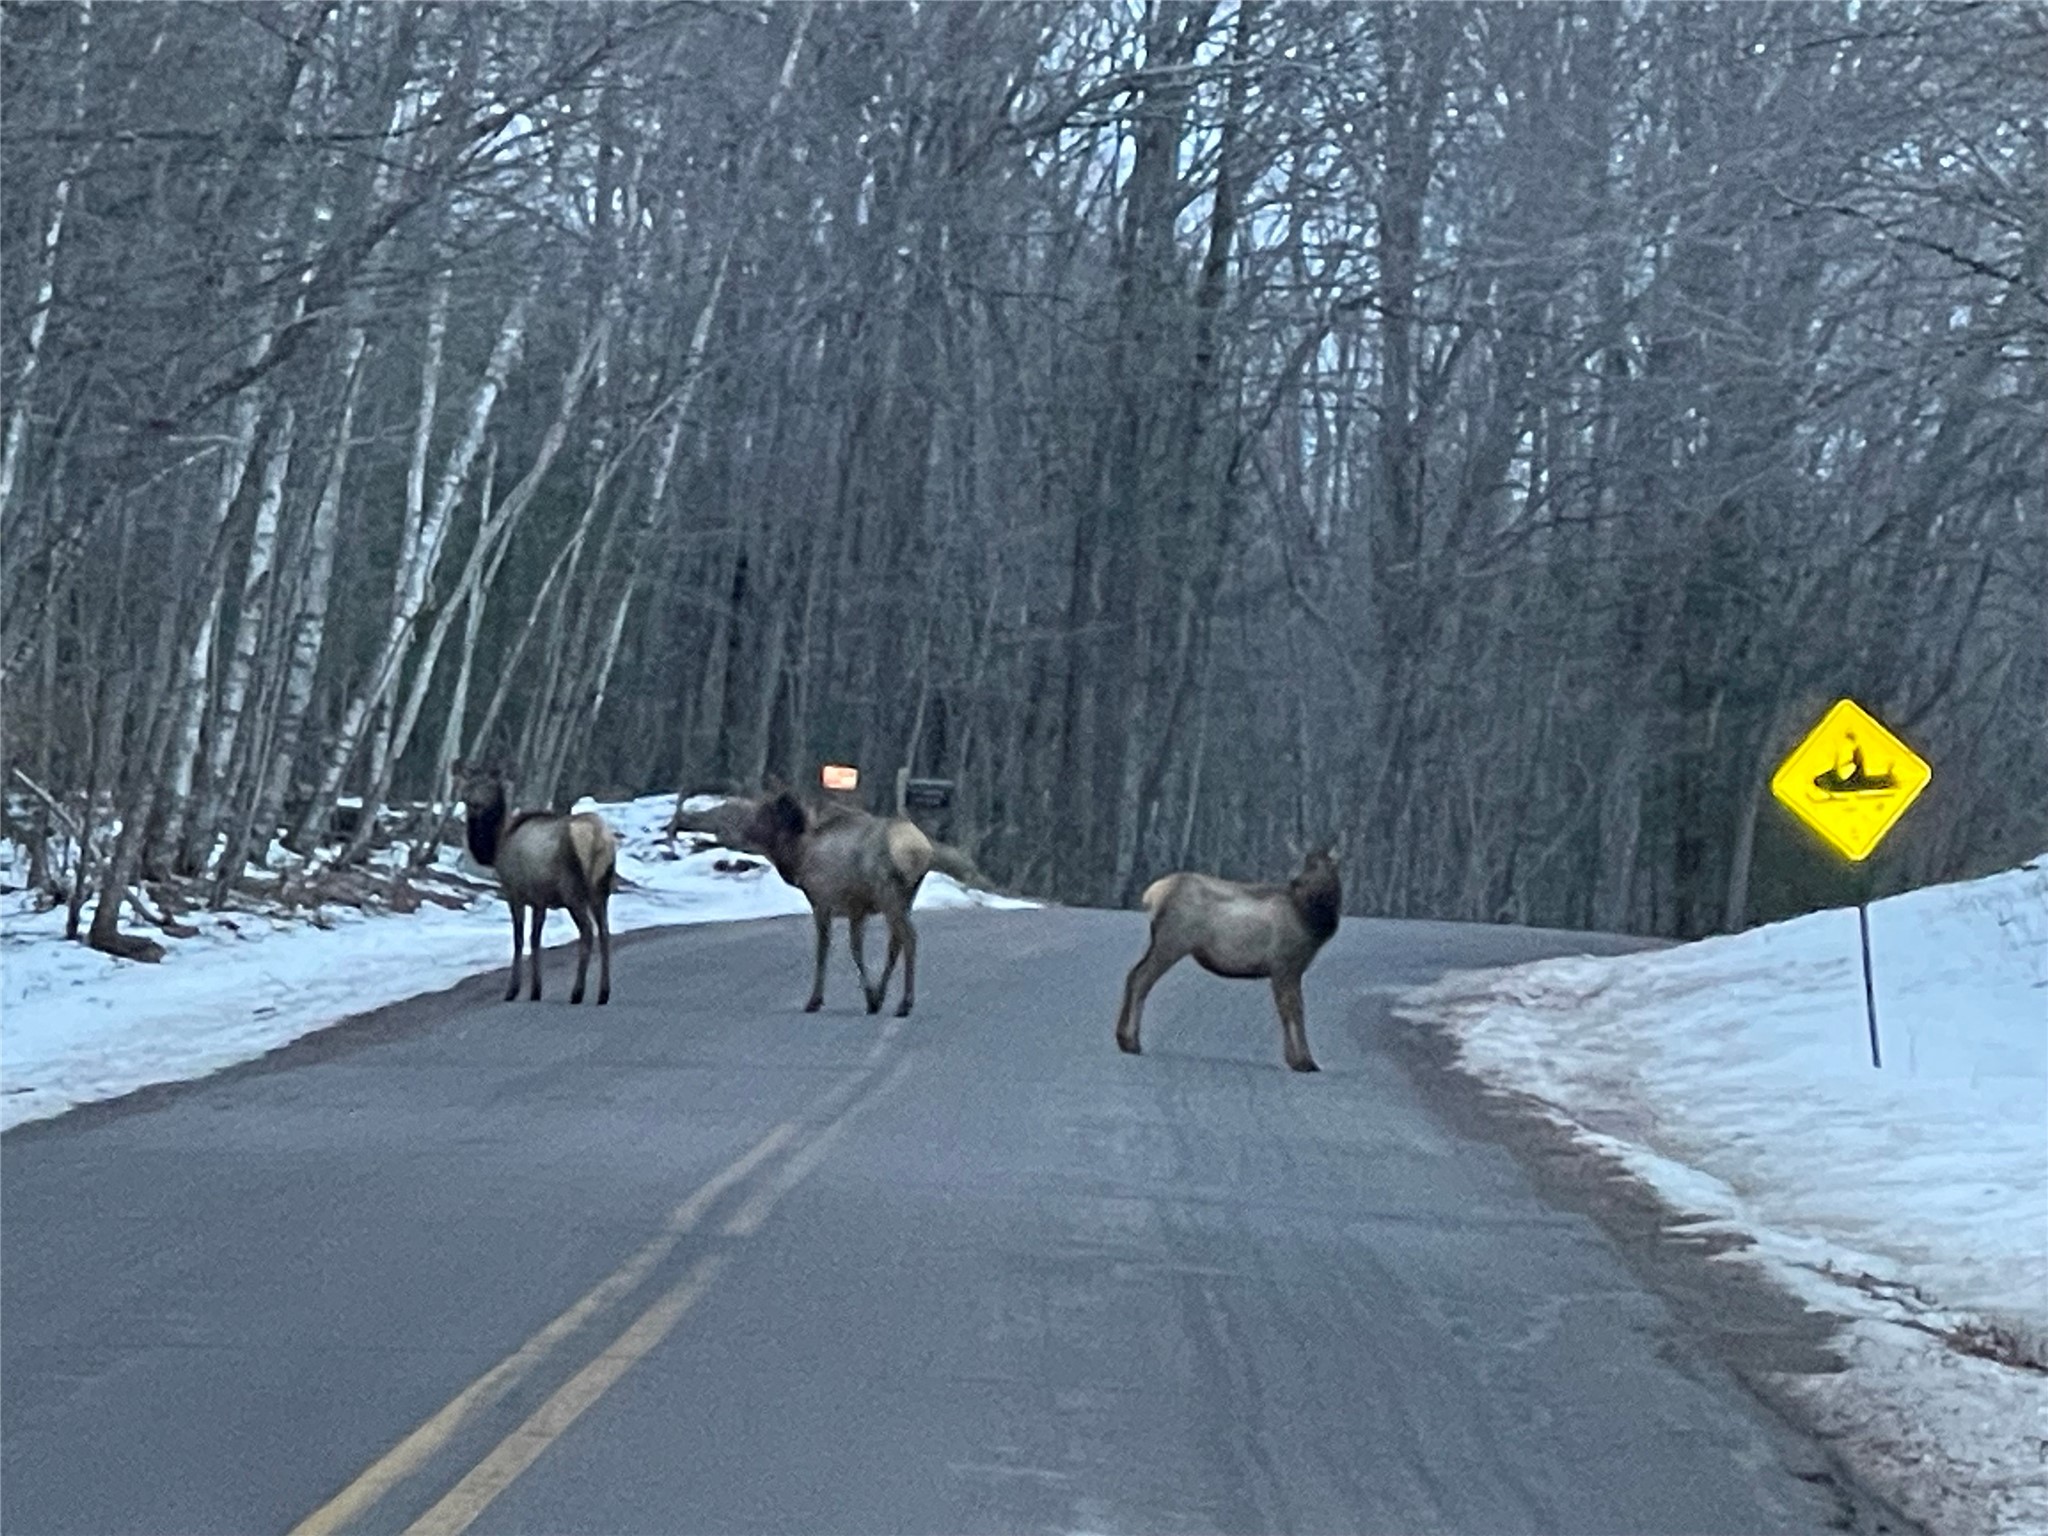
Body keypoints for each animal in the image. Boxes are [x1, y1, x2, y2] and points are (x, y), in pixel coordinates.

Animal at [453, 763, 618, 1006]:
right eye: (470, 783)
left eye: (488, 785)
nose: (468, 799)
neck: (496, 848)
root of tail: (598, 838)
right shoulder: (540, 899)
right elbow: (535, 939)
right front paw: (535, 990)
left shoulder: (515, 893)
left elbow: (520, 939)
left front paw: (514, 990)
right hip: (601, 889)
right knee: (605, 932)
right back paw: (603, 993)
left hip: (574, 891)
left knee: (587, 932)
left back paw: (577, 993)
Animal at [743, 790, 934, 1017]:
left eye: (765, 813)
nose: (746, 830)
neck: (800, 854)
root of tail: (920, 851)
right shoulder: (857, 910)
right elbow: (856, 949)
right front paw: (872, 1000)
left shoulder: (822, 903)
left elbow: (823, 950)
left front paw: (815, 1001)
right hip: (905, 899)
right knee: (895, 944)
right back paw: (885, 997)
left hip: (889, 897)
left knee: (909, 939)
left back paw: (905, 1003)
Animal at [1115, 842, 1342, 1073]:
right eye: (1306, 866)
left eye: (1327, 866)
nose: (1296, 882)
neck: (1308, 922)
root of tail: (1152, 895)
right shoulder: (1284, 964)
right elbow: (1293, 1009)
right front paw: (1303, 1062)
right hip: (1172, 942)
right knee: (1141, 978)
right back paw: (1130, 1042)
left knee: (1134, 974)